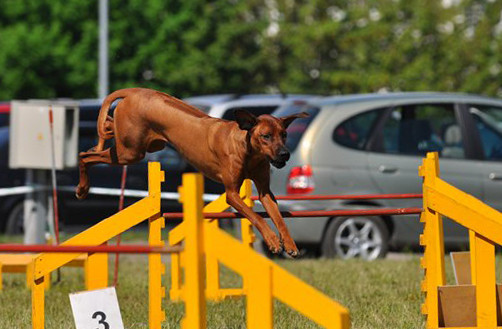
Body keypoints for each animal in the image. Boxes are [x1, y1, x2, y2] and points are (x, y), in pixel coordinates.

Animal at [76, 88, 308, 256]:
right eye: (266, 136)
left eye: (284, 134)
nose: (285, 154)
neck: (249, 152)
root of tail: (134, 91)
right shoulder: (232, 194)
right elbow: (256, 217)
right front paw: (272, 240)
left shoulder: (265, 192)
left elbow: (279, 218)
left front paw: (289, 243)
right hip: (130, 153)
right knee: (84, 156)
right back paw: (82, 187)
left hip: (145, 147)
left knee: (91, 149)